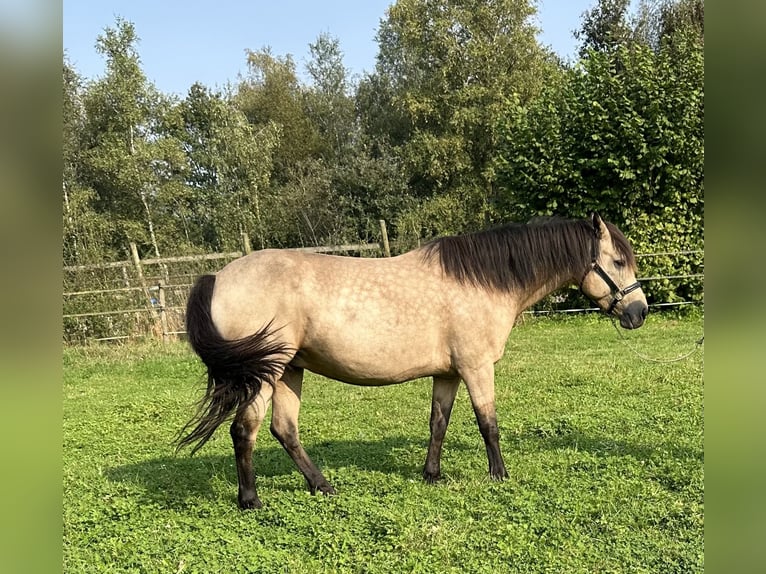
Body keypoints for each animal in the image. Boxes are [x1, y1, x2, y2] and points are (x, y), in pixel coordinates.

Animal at [178, 215, 648, 508]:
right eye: (618, 261)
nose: (639, 312)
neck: (481, 281)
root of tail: (217, 276)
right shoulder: (477, 367)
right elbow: (488, 423)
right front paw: (499, 475)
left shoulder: (448, 374)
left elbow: (439, 422)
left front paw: (432, 474)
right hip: (263, 374)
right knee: (245, 431)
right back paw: (251, 500)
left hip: (289, 371)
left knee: (284, 429)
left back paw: (323, 486)